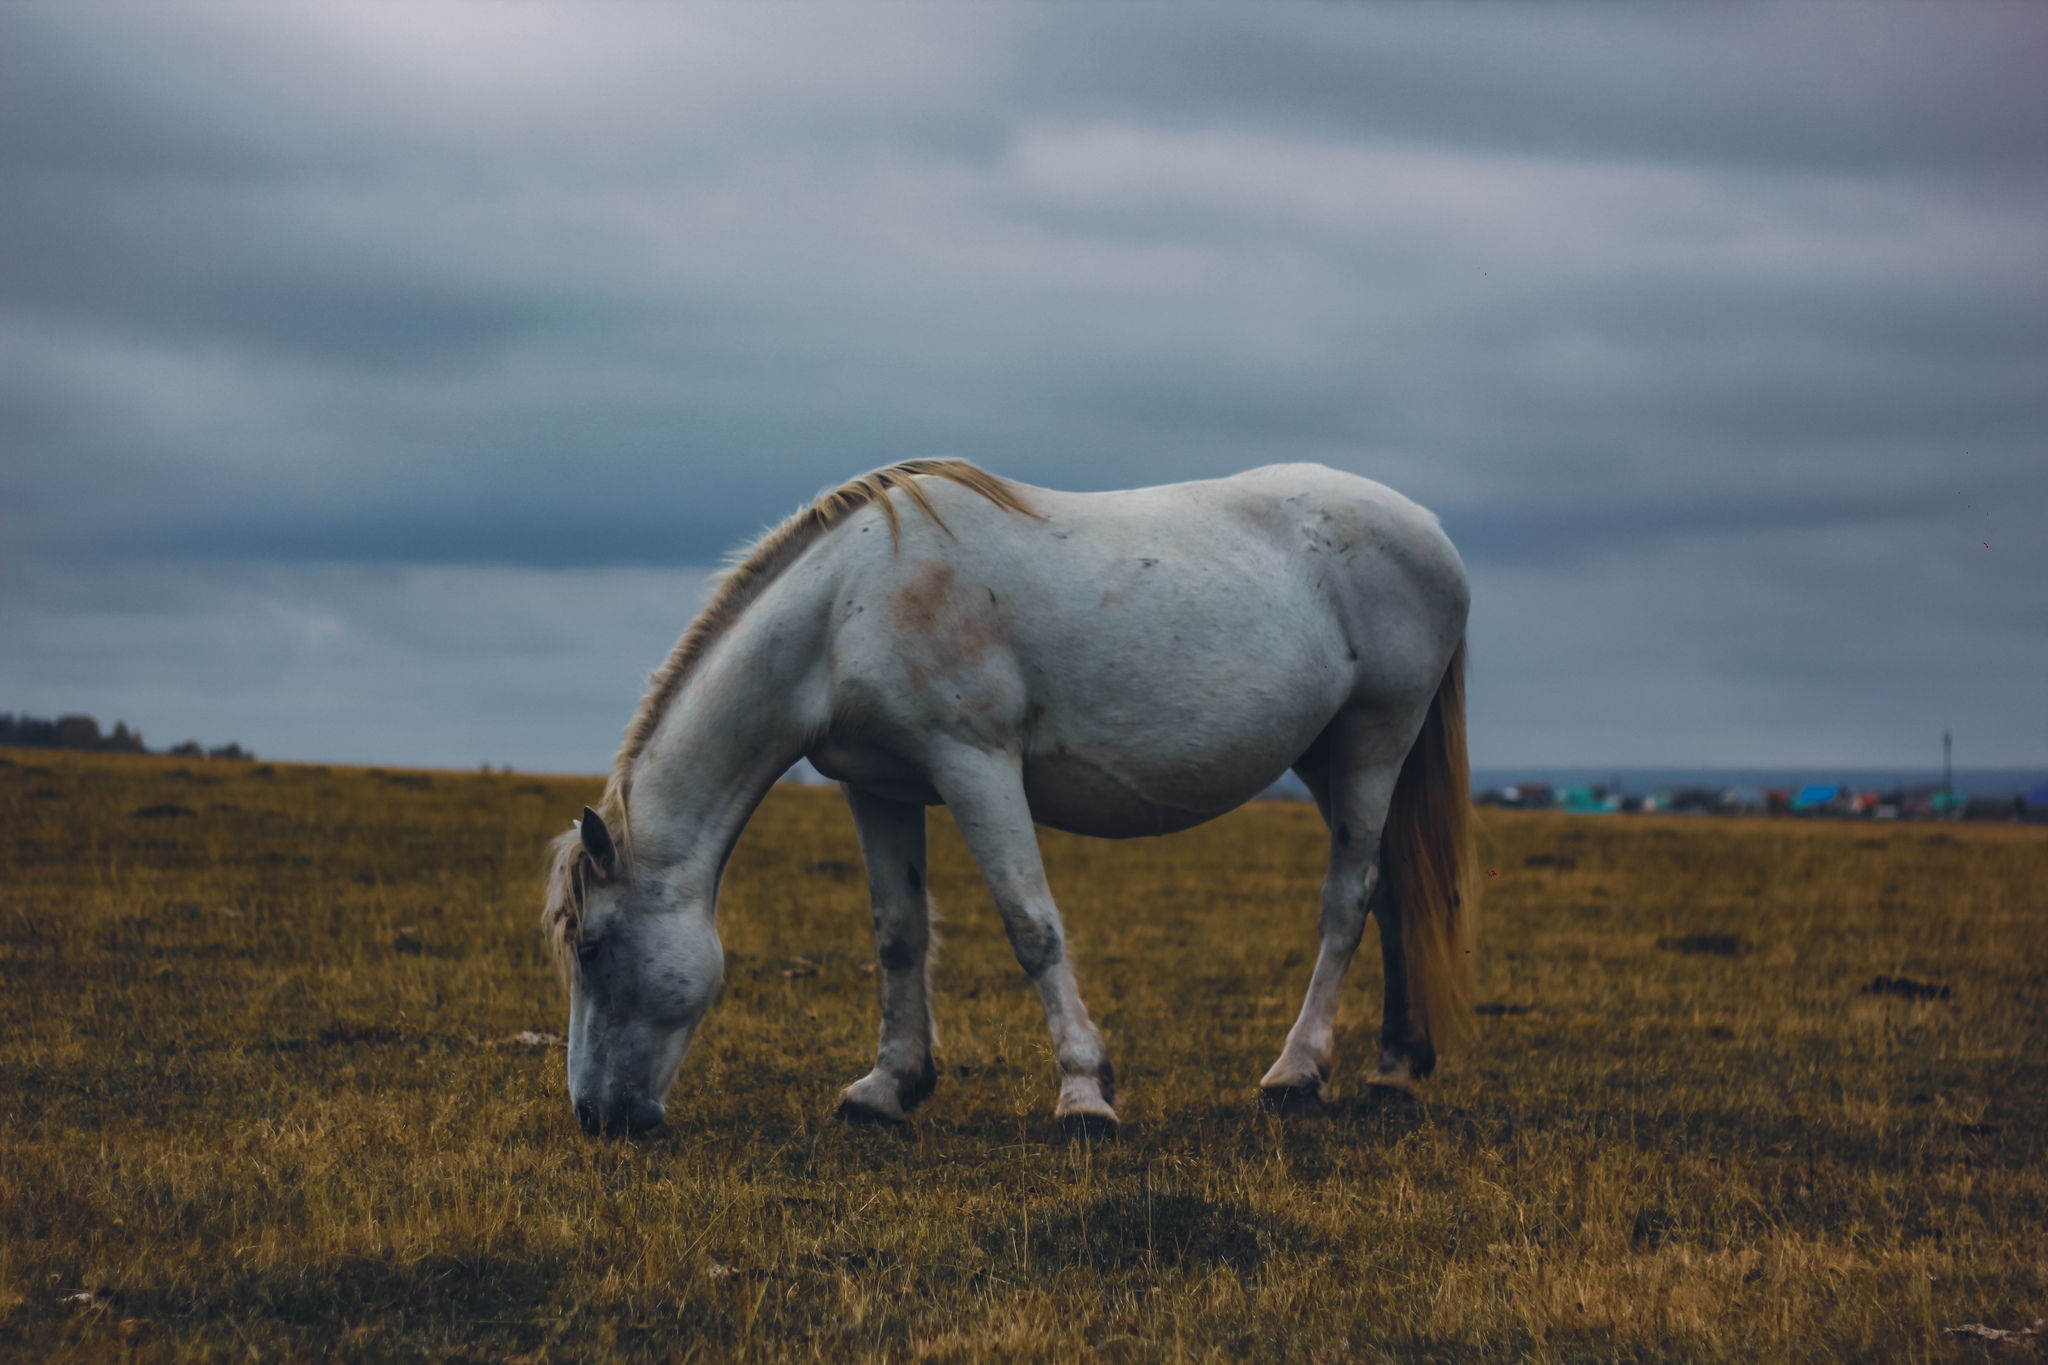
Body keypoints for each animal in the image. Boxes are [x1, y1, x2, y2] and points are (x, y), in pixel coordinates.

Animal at [544, 462, 1474, 1146]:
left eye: (591, 947)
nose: (595, 1117)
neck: (844, 610)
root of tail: (1431, 529)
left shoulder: (976, 762)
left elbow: (1032, 926)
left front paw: (1084, 1093)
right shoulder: (877, 785)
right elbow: (898, 932)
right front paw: (888, 1086)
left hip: (1375, 740)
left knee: (1349, 900)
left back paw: (1296, 1074)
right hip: (1328, 759)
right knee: (1394, 894)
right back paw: (1394, 1066)